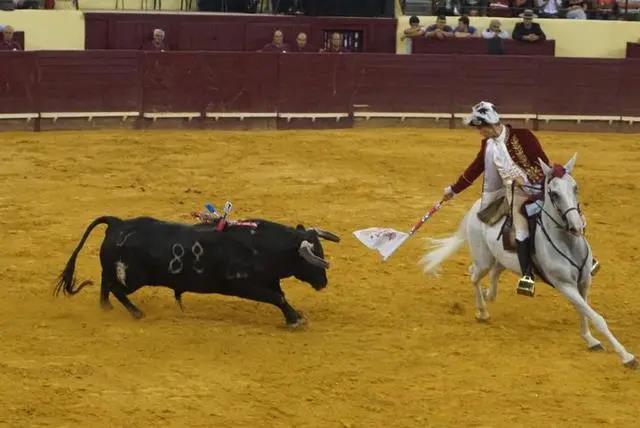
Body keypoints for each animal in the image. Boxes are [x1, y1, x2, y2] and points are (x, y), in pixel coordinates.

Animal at [55, 216, 340, 326]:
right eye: (314, 256)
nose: (324, 282)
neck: (262, 245)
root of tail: (117, 223)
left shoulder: (269, 280)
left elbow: (280, 295)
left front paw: (296, 315)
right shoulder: (244, 285)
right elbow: (277, 298)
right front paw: (295, 320)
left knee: (106, 282)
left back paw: (106, 308)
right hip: (134, 278)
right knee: (115, 287)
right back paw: (136, 312)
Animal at [422, 155, 636, 370]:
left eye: (575, 187)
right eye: (554, 193)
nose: (576, 226)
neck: (567, 243)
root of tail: (477, 208)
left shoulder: (583, 282)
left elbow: (584, 311)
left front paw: (590, 340)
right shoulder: (565, 285)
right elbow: (596, 317)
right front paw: (627, 356)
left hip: (501, 259)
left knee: (493, 274)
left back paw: (488, 295)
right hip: (484, 259)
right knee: (474, 274)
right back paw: (482, 311)